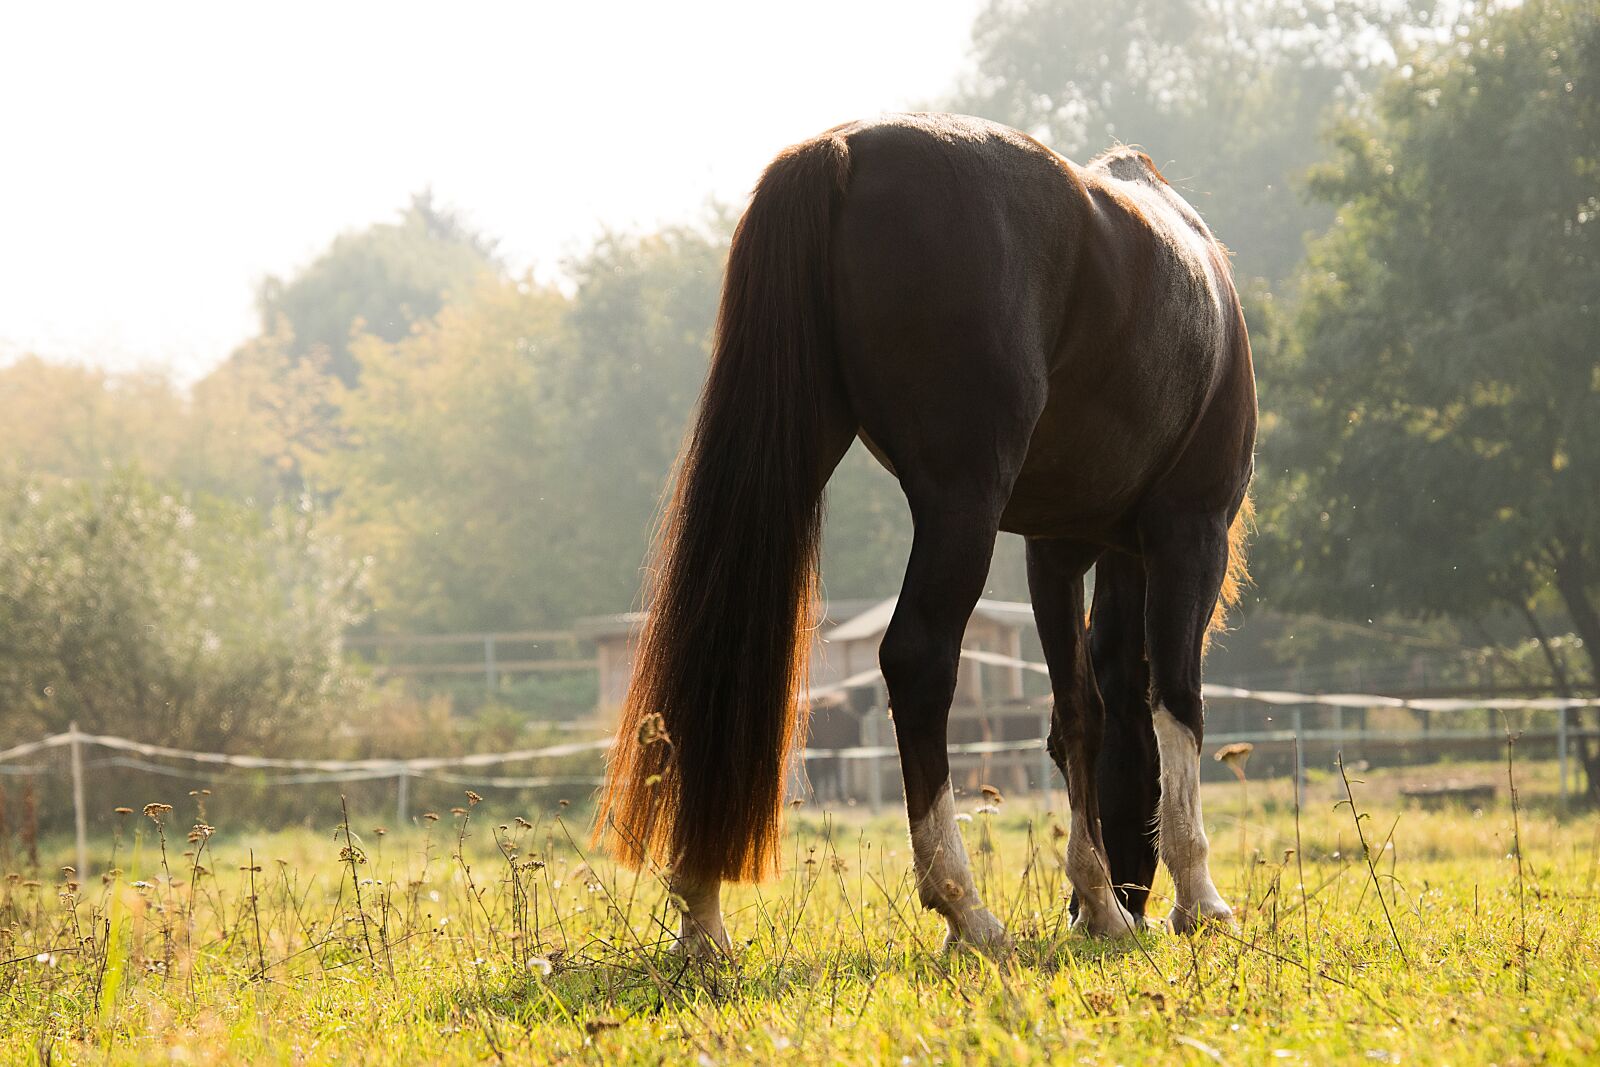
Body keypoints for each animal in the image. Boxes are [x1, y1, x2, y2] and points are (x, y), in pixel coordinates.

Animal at [595, 113, 1255, 954]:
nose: (1129, 906)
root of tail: (848, 148)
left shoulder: (1059, 549)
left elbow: (1081, 711)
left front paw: (1099, 900)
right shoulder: (1189, 533)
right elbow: (1175, 700)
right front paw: (1197, 898)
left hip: (798, 455)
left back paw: (702, 919)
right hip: (961, 503)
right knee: (918, 661)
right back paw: (966, 909)